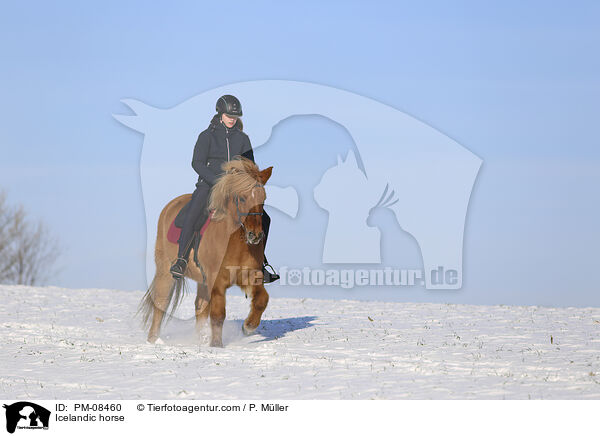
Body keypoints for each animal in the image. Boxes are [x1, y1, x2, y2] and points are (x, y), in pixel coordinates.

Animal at [138, 157, 272, 348]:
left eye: (263, 198)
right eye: (242, 197)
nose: (255, 235)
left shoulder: (250, 275)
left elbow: (262, 300)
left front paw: (248, 327)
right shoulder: (216, 281)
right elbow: (218, 313)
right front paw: (216, 345)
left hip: (202, 281)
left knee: (200, 307)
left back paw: (198, 339)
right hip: (165, 272)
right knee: (161, 304)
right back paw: (153, 341)